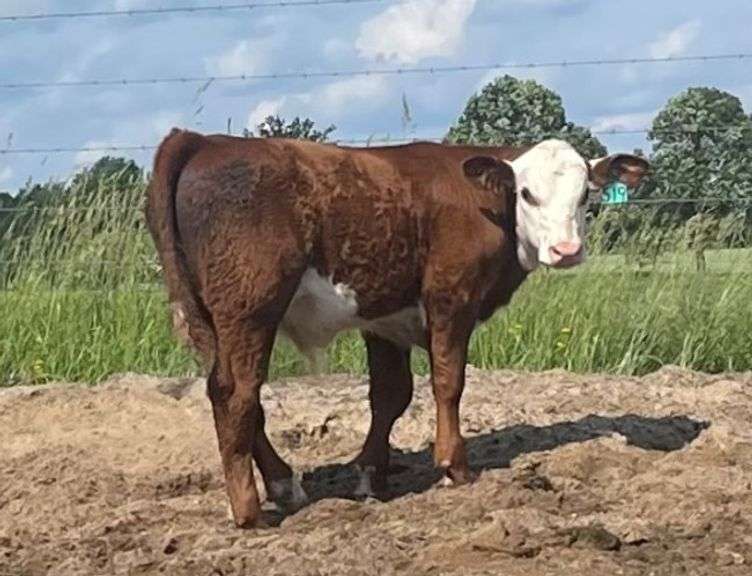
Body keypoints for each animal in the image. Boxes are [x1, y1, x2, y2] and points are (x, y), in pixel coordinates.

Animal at [145, 129, 648, 528]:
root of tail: (205, 140)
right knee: (237, 395)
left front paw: (370, 475)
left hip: (210, 319)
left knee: (231, 395)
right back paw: (249, 510)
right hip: (250, 309)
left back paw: (284, 484)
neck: (484, 205)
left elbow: (390, 396)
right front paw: (454, 465)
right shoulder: (452, 297)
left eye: (585, 195)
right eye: (526, 194)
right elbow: (448, 382)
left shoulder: (385, 319)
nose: (566, 250)